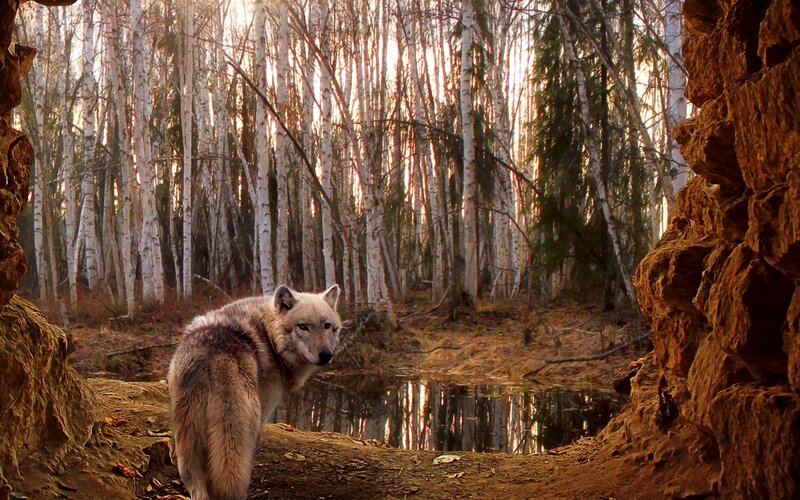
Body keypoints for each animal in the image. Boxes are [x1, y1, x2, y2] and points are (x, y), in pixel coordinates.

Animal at [167, 284, 342, 500]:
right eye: (303, 326)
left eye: (326, 325)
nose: (326, 355)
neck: (270, 337)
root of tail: (211, 356)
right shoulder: (262, 416)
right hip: (242, 430)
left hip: (187, 442)